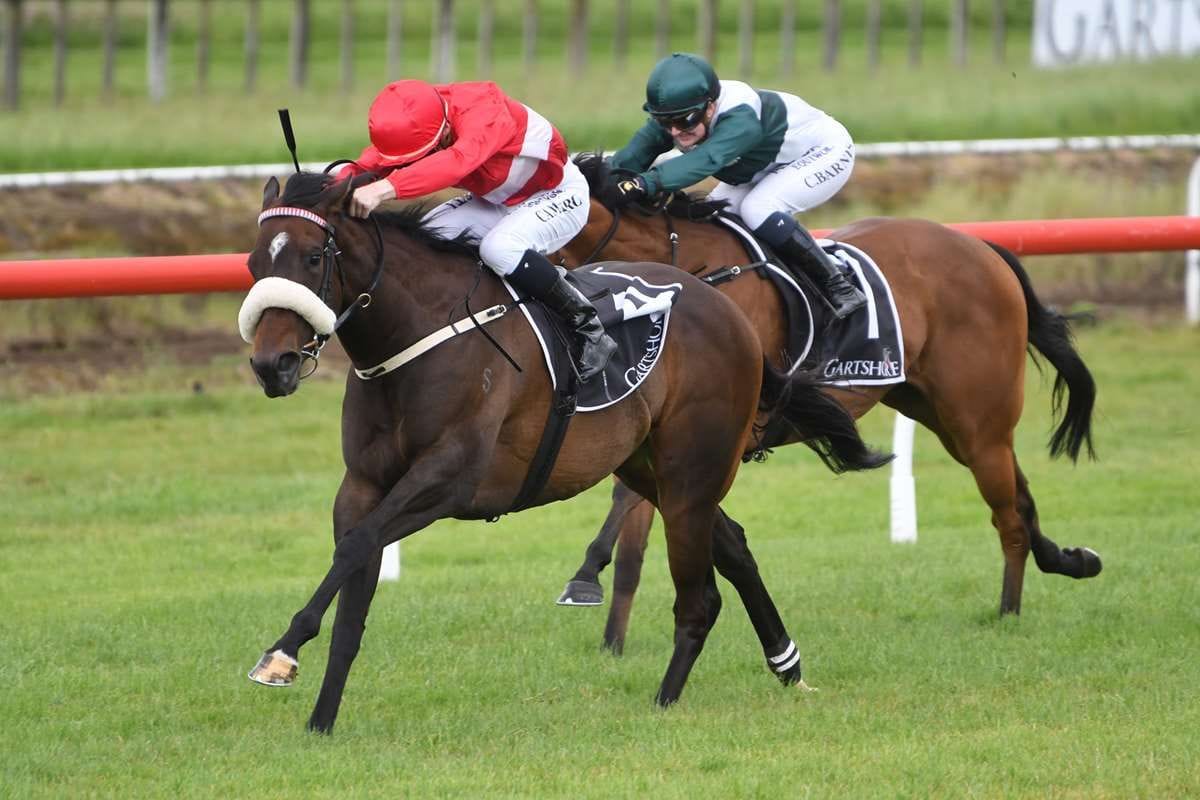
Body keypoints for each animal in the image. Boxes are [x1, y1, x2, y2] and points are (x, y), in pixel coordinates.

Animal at [240, 171, 888, 733]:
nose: (272, 365)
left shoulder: (448, 481)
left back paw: (665, 702)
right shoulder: (364, 486)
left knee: (699, 598)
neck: (416, 338)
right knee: (733, 546)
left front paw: (280, 653)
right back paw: (787, 664)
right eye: (253, 263)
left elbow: (354, 548)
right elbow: (353, 589)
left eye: (314, 259)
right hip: (650, 467)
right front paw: (321, 720)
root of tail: (730, 310)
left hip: (690, 472)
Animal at [551, 153, 1100, 652]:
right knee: (1019, 496)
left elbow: (631, 500)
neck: (689, 276)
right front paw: (606, 619)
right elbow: (635, 514)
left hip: (978, 420)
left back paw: (1009, 611)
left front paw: (585, 579)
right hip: (940, 413)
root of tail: (981, 246)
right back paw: (1070, 560)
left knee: (1007, 512)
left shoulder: (716, 424)